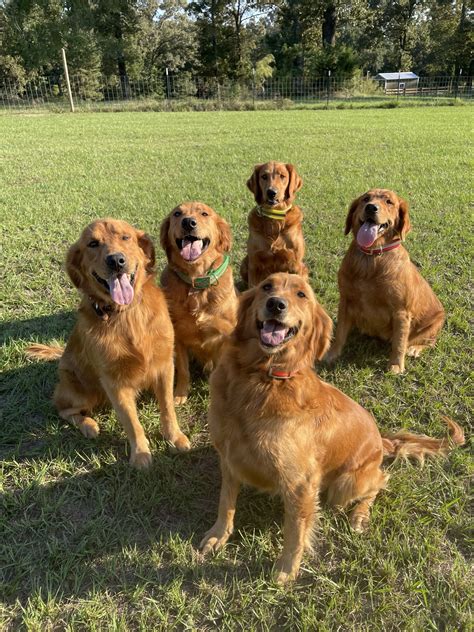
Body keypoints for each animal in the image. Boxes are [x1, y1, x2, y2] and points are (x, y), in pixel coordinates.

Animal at [26, 218, 190, 470]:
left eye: (125, 237)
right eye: (93, 243)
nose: (116, 260)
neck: (126, 315)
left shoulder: (164, 366)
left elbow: (168, 409)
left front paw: (175, 437)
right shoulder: (114, 383)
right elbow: (132, 422)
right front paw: (140, 454)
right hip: (81, 391)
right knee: (64, 409)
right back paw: (89, 425)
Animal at [161, 202, 239, 402]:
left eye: (204, 213)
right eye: (177, 214)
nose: (188, 222)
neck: (196, 282)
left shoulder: (224, 337)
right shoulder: (178, 336)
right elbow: (183, 370)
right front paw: (180, 394)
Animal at [202, 272, 464, 584]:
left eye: (301, 295)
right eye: (266, 286)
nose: (276, 304)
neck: (261, 378)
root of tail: (381, 441)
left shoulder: (301, 484)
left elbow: (295, 532)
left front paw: (286, 570)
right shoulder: (229, 457)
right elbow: (225, 503)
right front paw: (218, 535)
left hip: (346, 483)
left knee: (381, 480)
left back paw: (359, 515)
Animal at [326, 190, 444, 372]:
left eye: (389, 202)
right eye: (365, 199)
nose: (371, 207)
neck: (372, 257)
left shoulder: (401, 311)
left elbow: (399, 342)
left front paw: (395, 365)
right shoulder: (345, 300)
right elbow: (340, 333)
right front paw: (332, 353)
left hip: (435, 322)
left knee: (429, 342)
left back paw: (415, 348)